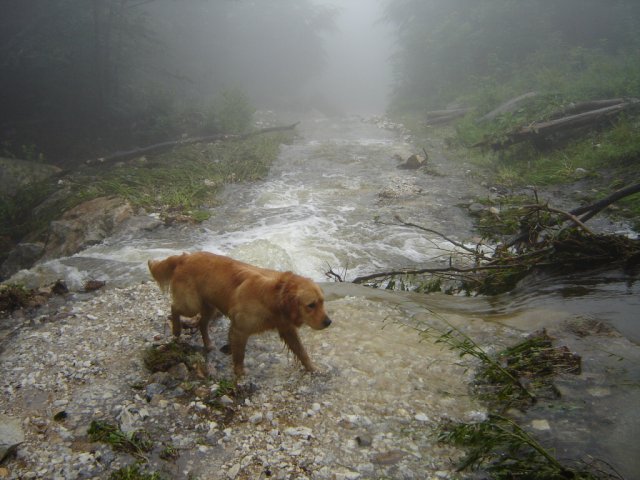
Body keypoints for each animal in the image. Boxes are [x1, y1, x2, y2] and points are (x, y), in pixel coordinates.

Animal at [148, 251, 332, 376]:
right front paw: (239, 375)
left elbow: (302, 352)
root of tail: (184, 256)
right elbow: (239, 356)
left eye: (323, 302)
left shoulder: (287, 329)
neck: (274, 297)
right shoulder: (240, 330)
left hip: (209, 306)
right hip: (191, 304)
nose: (328, 322)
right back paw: (176, 330)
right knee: (174, 307)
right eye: (311, 305)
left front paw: (314, 369)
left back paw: (208, 344)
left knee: (201, 323)